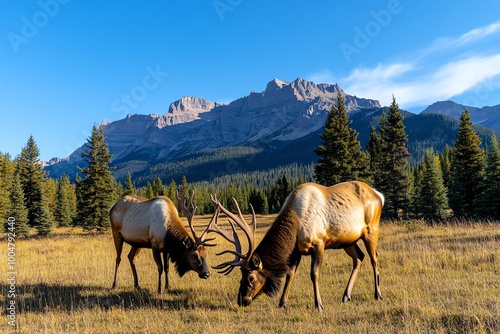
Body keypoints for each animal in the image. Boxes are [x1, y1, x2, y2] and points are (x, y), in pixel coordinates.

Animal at [209, 181, 384, 312]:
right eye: (241, 276)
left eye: (251, 277)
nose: (241, 300)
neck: (296, 224)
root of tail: (379, 195)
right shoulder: (296, 251)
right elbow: (289, 274)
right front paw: (282, 303)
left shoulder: (319, 243)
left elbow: (314, 274)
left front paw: (318, 305)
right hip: (348, 240)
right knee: (359, 257)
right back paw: (346, 296)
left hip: (371, 229)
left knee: (374, 258)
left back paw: (378, 295)